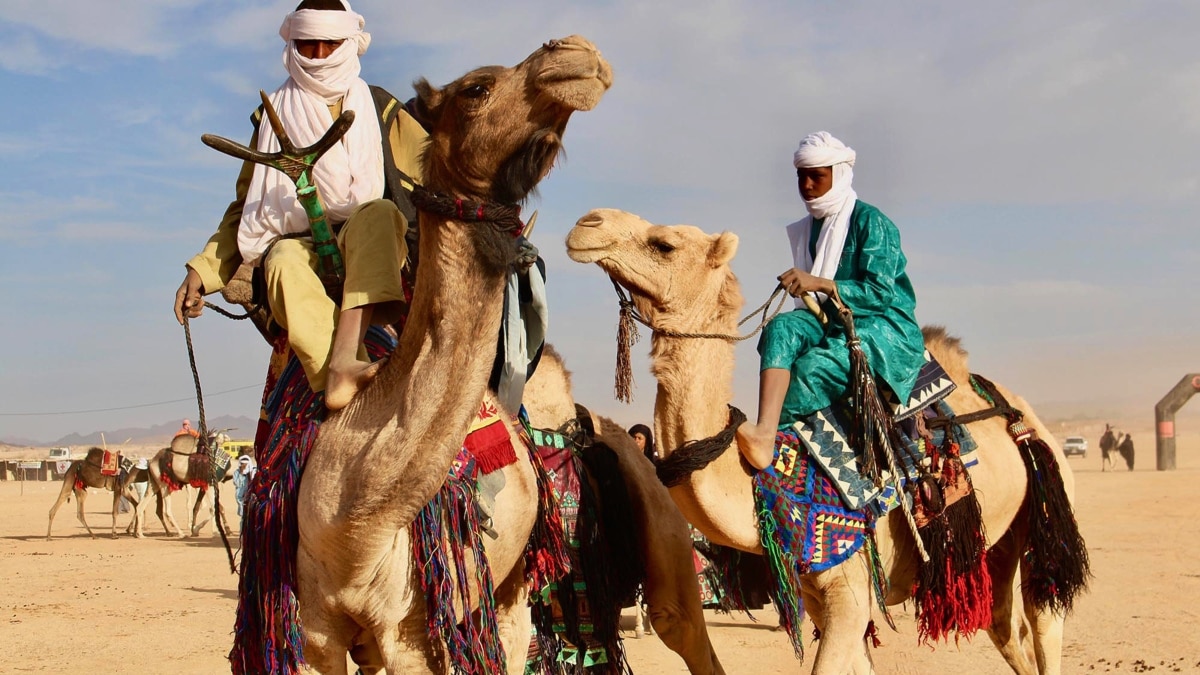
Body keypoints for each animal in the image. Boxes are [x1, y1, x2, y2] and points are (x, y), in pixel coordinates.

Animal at [564, 207, 1089, 667]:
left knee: (1043, 618)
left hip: (1046, 499)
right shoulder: (819, 595)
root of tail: (1020, 412)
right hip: (996, 540)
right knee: (1002, 622)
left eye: (664, 244)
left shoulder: (850, 590)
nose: (586, 223)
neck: (768, 478)